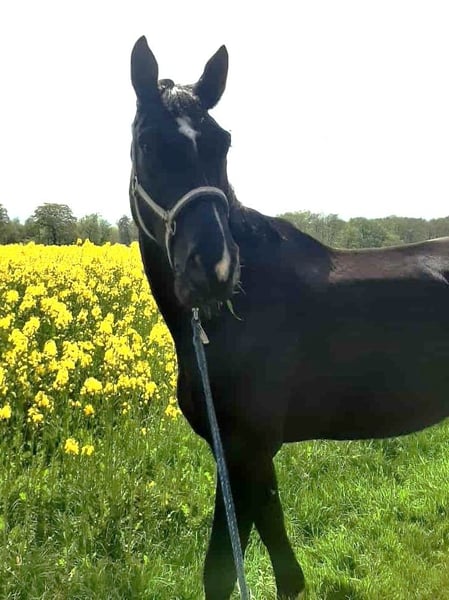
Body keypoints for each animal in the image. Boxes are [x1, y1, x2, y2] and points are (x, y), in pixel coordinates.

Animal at [129, 36, 449, 599]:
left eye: (223, 143)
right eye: (148, 143)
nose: (214, 268)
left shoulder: (251, 448)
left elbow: (266, 569)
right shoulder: (231, 451)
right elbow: (230, 569)